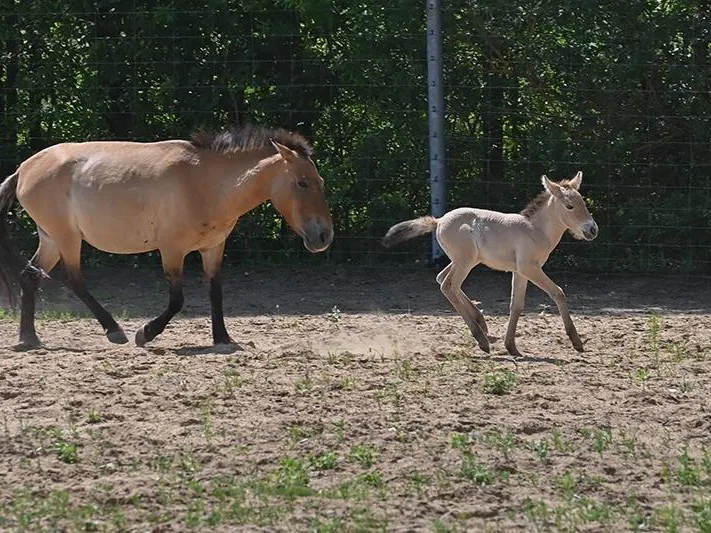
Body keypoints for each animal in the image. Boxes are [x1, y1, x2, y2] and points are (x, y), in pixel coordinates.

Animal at [0, 124, 334, 350]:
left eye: (320, 180)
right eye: (302, 183)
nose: (324, 236)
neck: (205, 184)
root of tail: (23, 170)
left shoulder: (213, 248)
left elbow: (216, 292)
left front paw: (223, 338)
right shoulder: (172, 250)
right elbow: (177, 299)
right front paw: (145, 333)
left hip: (51, 239)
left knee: (30, 275)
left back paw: (28, 338)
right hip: (67, 237)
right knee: (74, 280)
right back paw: (115, 331)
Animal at [384, 170, 596, 356]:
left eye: (583, 203)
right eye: (569, 206)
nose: (592, 229)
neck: (536, 230)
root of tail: (440, 220)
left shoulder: (520, 272)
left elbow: (516, 305)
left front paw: (511, 346)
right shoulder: (530, 268)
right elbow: (558, 292)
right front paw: (577, 342)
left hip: (462, 260)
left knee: (442, 278)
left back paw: (481, 323)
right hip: (465, 261)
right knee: (449, 286)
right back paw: (481, 339)